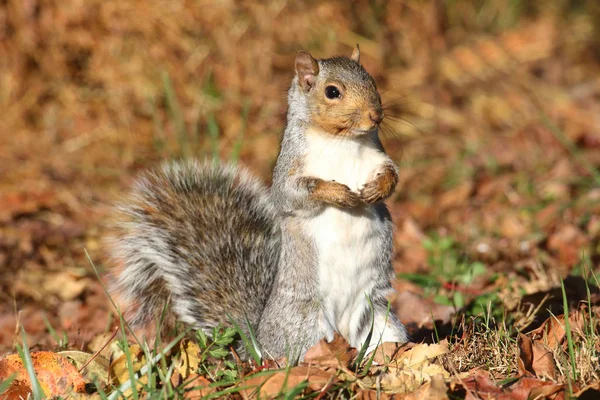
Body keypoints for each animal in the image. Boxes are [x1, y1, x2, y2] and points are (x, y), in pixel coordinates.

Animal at [109, 45, 408, 360]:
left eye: (372, 81)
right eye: (332, 92)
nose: (375, 115)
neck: (342, 140)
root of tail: (258, 343)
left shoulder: (375, 155)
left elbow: (391, 172)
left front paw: (379, 187)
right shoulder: (290, 168)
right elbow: (293, 193)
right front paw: (337, 192)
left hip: (377, 316)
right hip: (305, 325)